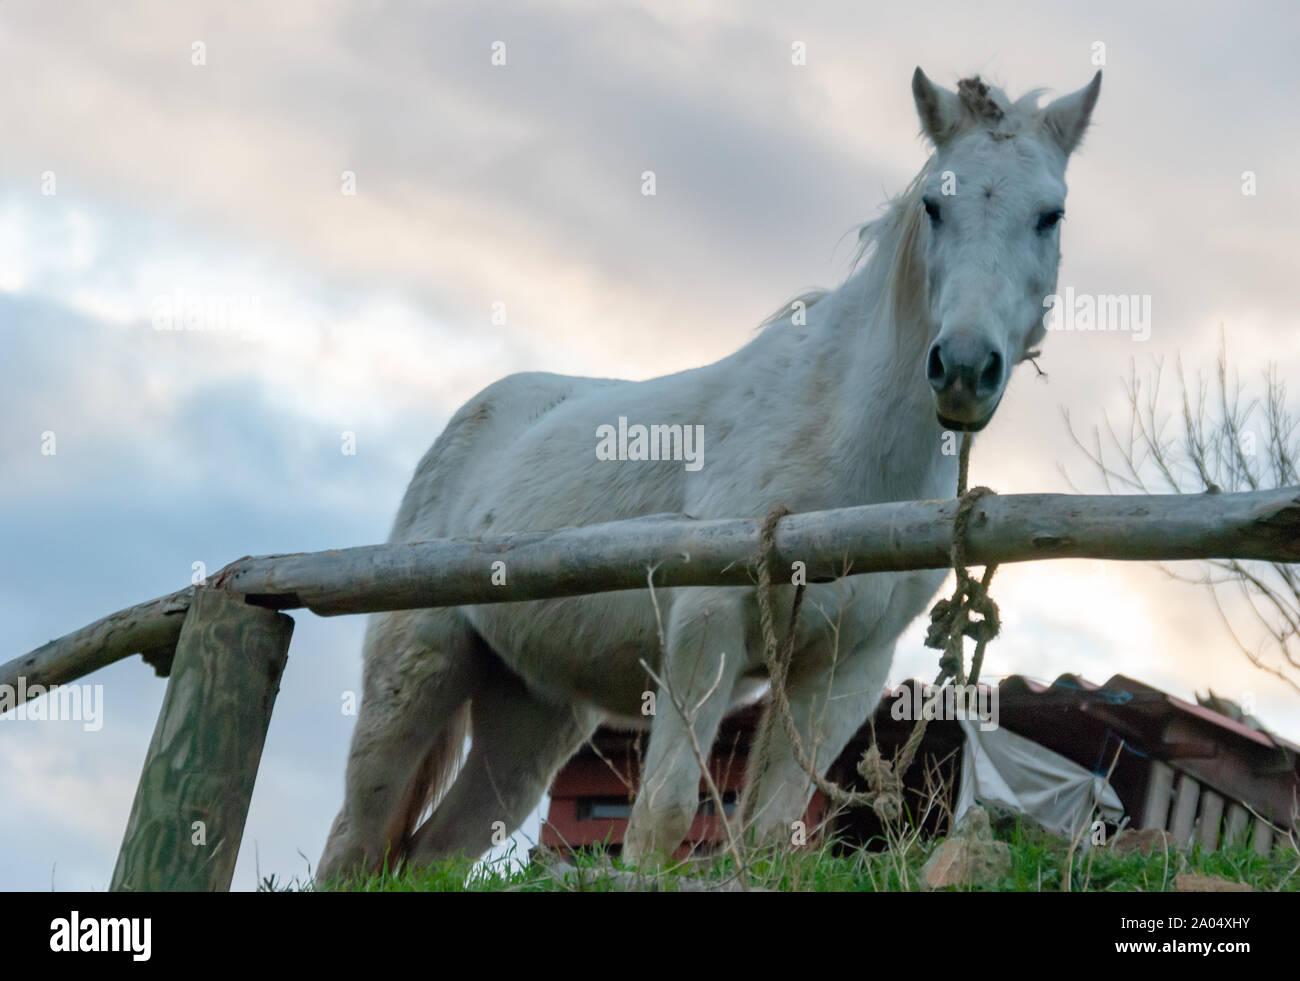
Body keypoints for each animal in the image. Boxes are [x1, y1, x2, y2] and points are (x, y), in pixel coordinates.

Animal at [314, 67, 1097, 873]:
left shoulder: (844, 672)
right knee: (354, 841)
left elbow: (773, 828)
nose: (965, 369)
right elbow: (661, 817)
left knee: (430, 854)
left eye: (1050, 215)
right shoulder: (705, 631)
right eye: (935, 206)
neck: (842, 451)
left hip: (534, 717)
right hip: (417, 670)